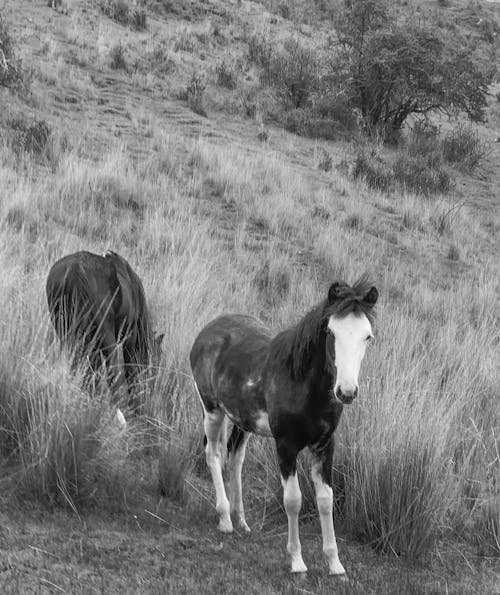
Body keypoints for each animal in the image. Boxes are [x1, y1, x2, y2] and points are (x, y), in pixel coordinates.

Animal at [46, 249, 161, 422]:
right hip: (106, 337)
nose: (150, 391)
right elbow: (130, 370)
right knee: (113, 373)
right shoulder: (129, 339)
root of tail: (76, 269)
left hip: (68, 333)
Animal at [189, 280, 376, 576]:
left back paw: (241, 520)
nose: (346, 392)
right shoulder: (286, 446)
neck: (302, 385)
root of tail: (207, 331)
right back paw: (225, 518)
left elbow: (325, 499)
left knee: (235, 458)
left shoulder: (324, 446)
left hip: (242, 421)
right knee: (213, 453)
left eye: (367, 336)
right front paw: (297, 561)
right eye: (331, 332)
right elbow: (293, 500)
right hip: (212, 411)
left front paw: (335, 563)